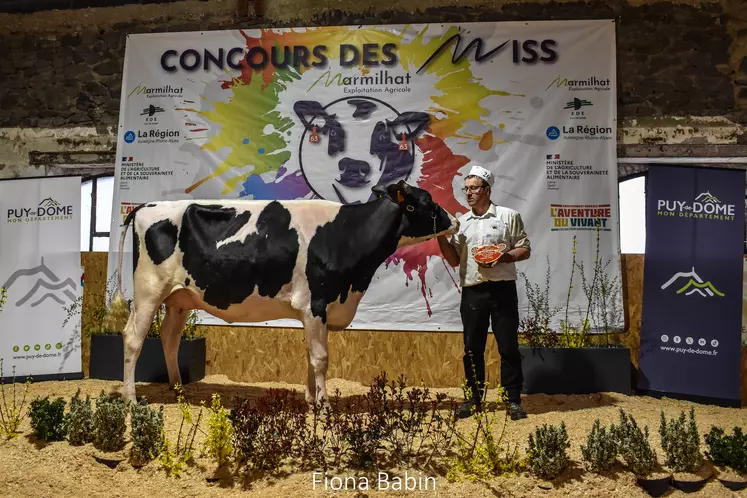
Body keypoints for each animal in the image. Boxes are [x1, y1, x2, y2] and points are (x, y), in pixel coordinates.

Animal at [107, 180, 458, 404]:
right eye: (425, 201)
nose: (454, 220)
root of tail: (145, 206)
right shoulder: (316, 303)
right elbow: (320, 358)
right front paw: (324, 407)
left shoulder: (316, 311)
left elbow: (311, 356)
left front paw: (311, 400)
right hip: (149, 289)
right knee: (133, 337)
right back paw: (131, 398)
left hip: (179, 298)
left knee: (169, 337)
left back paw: (178, 389)